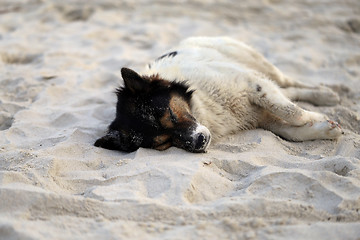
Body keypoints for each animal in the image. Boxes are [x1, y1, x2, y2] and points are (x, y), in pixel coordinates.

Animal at [93, 36, 344, 153]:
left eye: (172, 116)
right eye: (163, 142)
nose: (199, 143)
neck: (202, 105)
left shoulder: (252, 84)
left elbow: (292, 112)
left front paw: (318, 117)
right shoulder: (259, 117)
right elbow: (293, 132)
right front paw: (326, 129)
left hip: (254, 62)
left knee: (286, 82)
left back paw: (327, 95)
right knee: (287, 89)